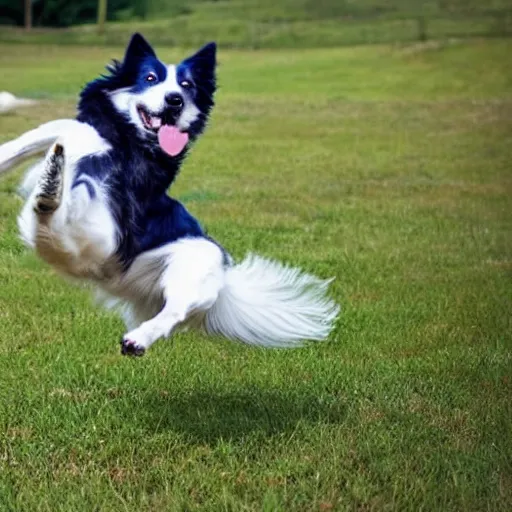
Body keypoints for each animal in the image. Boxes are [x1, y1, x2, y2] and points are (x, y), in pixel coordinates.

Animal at [0, 34, 340, 358]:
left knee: (174, 311)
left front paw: (53, 181)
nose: (174, 100)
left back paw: (137, 340)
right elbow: (53, 134)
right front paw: (47, 169)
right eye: (150, 78)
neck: (129, 144)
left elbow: (68, 167)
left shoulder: (104, 237)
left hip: (192, 265)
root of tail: (225, 280)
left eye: (187, 86)